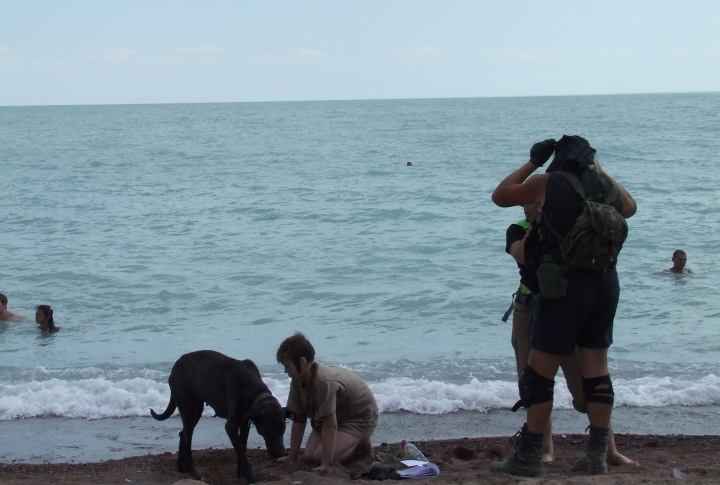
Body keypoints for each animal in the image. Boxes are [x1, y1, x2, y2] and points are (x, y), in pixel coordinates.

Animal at [150, 350, 286, 482]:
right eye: (269, 428)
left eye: (283, 429)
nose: (281, 453)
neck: (253, 390)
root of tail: (176, 365)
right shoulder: (231, 426)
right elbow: (241, 452)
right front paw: (250, 478)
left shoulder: (245, 423)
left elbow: (243, 446)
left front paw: (240, 473)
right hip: (188, 408)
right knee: (188, 440)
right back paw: (194, 473)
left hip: (197, 410)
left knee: (183, 434)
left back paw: (181, 466)